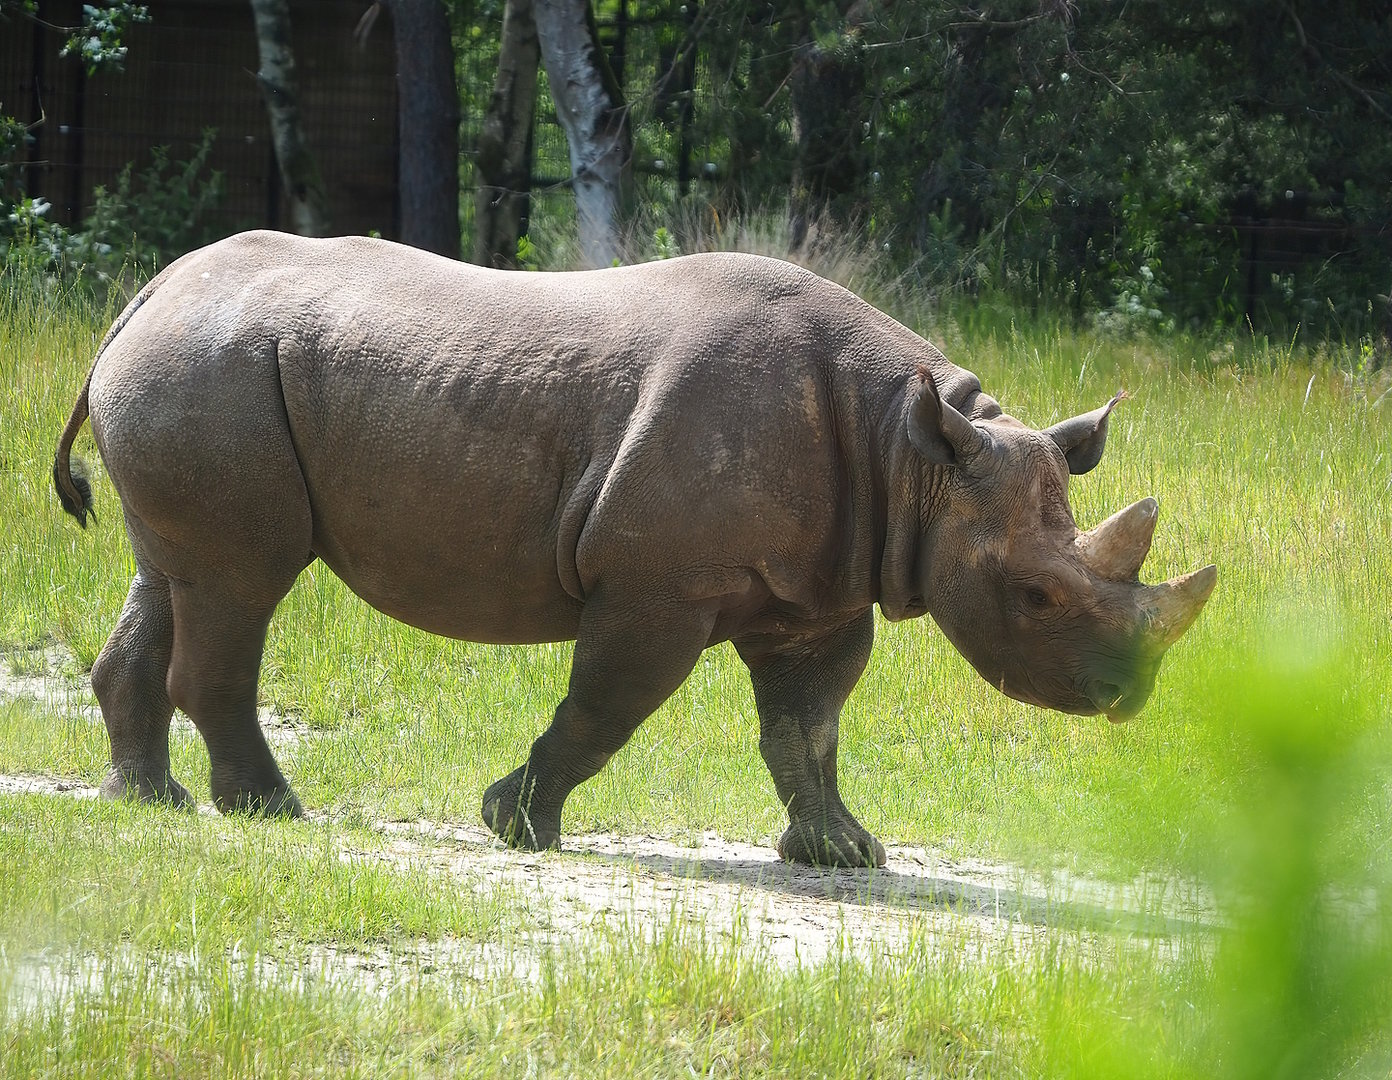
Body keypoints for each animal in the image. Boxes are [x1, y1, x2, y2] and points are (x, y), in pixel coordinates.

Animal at [53, 231, 1215, 867]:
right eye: (1034, 596)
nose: (1130, 697)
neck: (913, 454)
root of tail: (144, 295)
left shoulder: (820, 589)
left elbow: (809, 728)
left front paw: (844, 853)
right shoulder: (658, 580)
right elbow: (608, 706)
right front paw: (515, 823)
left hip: (194, 371)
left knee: (173, 574)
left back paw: (146, 800)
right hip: (213, 371)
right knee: (242, 582)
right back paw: (271, 810)